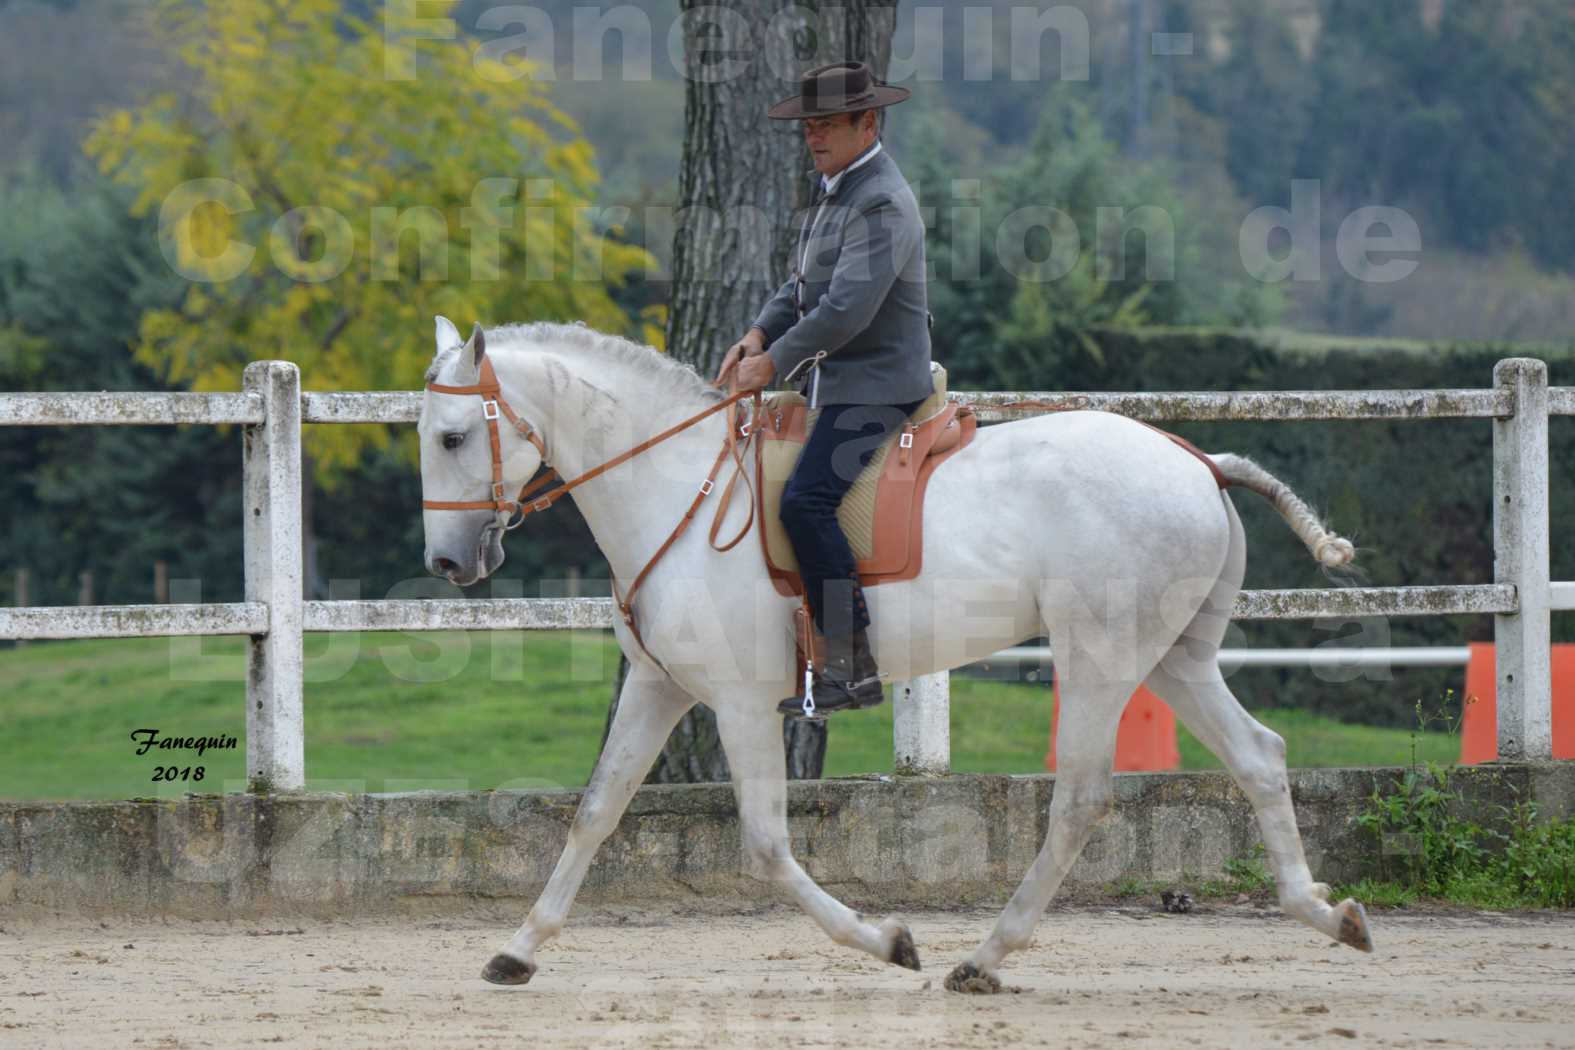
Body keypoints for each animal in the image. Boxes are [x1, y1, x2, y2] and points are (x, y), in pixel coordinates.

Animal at [422, 314, 1379, 994]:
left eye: (453, 437)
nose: (448, 564)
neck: (678, 491)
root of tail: (1195, 459)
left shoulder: (739, 702)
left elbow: (765, 843)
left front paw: (887, 941)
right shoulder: (658, 689)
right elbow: (595, 811)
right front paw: (518, 951)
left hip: (1103, 657)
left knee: (1080, 800)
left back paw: (983, 958)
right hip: (1173, 656)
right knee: (1259, 756)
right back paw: (1327, 915)